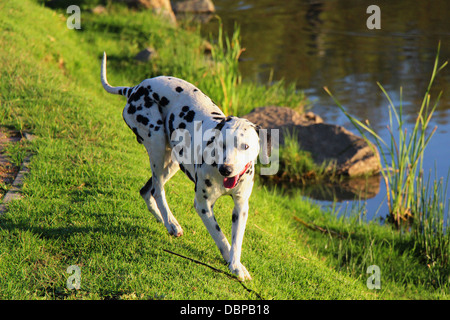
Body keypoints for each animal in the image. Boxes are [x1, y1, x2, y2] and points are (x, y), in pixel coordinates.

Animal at [100, 52, 268, 280]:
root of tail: (136, 88)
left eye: (245, 146)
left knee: (147, 190)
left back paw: (165, 220)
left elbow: (236, 241)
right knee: (157, 189)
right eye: (222, 143)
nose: (226, 169)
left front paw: (236, 265)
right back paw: (171, 223)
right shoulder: (204, 205)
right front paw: (230, 261)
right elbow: (221, 237)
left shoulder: (241, 207)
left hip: (173, 161)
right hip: (157, 145)